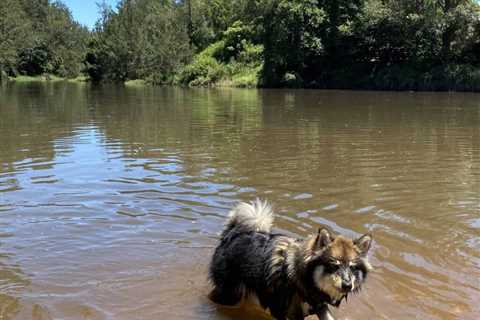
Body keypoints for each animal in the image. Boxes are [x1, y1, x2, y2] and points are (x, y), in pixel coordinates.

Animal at [208, 200, 374, 320]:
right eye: (334, 265)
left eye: (352, 267)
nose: (348, 285)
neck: (304, 277)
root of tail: (233, 235)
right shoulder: (290, 311)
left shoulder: (318, 306)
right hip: (230, 294)